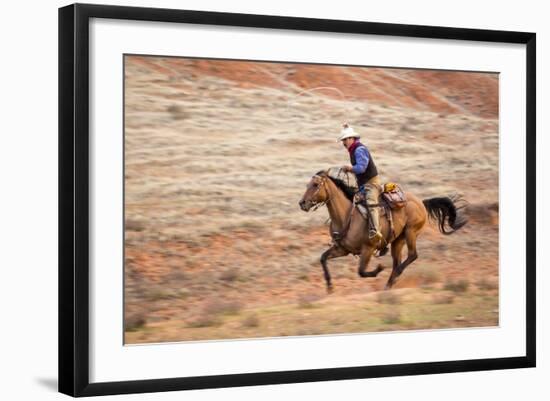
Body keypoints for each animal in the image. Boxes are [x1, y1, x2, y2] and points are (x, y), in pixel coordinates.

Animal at [300, 169, 468, 290]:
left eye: (315, 185)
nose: (302, 203)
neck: (346, 215)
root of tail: (421, 202)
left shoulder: (368, 248)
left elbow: (361, 271)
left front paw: (379, 268)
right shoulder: (343, 249)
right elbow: (323, 258)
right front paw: (329, 285)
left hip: (411, 232)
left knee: (412, 256)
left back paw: (394, 276)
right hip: (397, 240)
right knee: (397, 261)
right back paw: (389, 284)